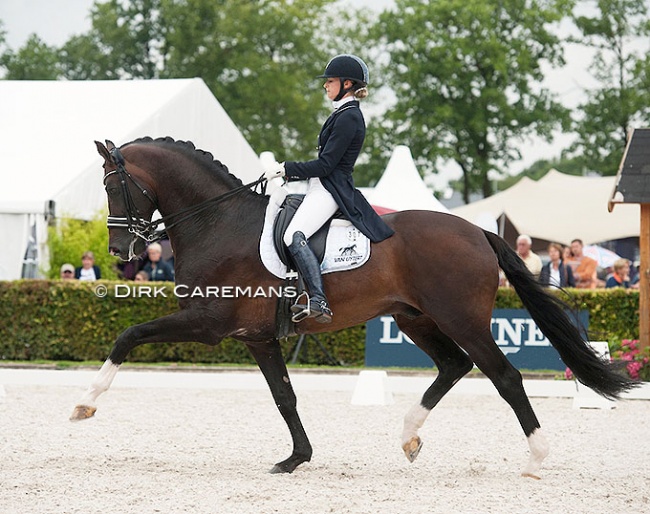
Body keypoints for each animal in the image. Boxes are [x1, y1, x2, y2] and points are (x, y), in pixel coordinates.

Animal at [71, 136, 632, 476]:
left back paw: (536, 458)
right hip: (414, 318)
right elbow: (285, 397)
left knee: (504, 376)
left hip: (461, 318)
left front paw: (85, 403)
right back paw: (408, 437)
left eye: (112, 185)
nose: (119, 251)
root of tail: (479, 231)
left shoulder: (207, 323)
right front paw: (296, 459)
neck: (218, 223)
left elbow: (128, 335)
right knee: (454, 365)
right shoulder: (258, 339)